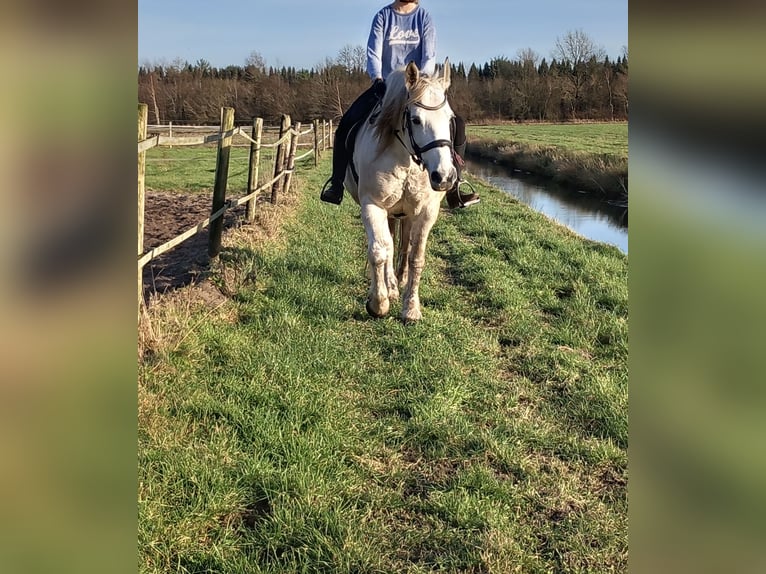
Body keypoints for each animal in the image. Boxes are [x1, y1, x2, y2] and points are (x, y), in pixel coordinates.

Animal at [344, 59, 456, 323]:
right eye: (415, 119)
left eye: (449, 118)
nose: (444, 176)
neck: (406, 159)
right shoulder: (373, 205)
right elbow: (379, 251)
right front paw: (379, 303)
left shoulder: (426, 212)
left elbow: (416, 257)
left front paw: (411, 308)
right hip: (389, 211)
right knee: (389, 245)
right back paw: (391, 287)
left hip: (405, 213)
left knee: (403, 245)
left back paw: (400, 280)